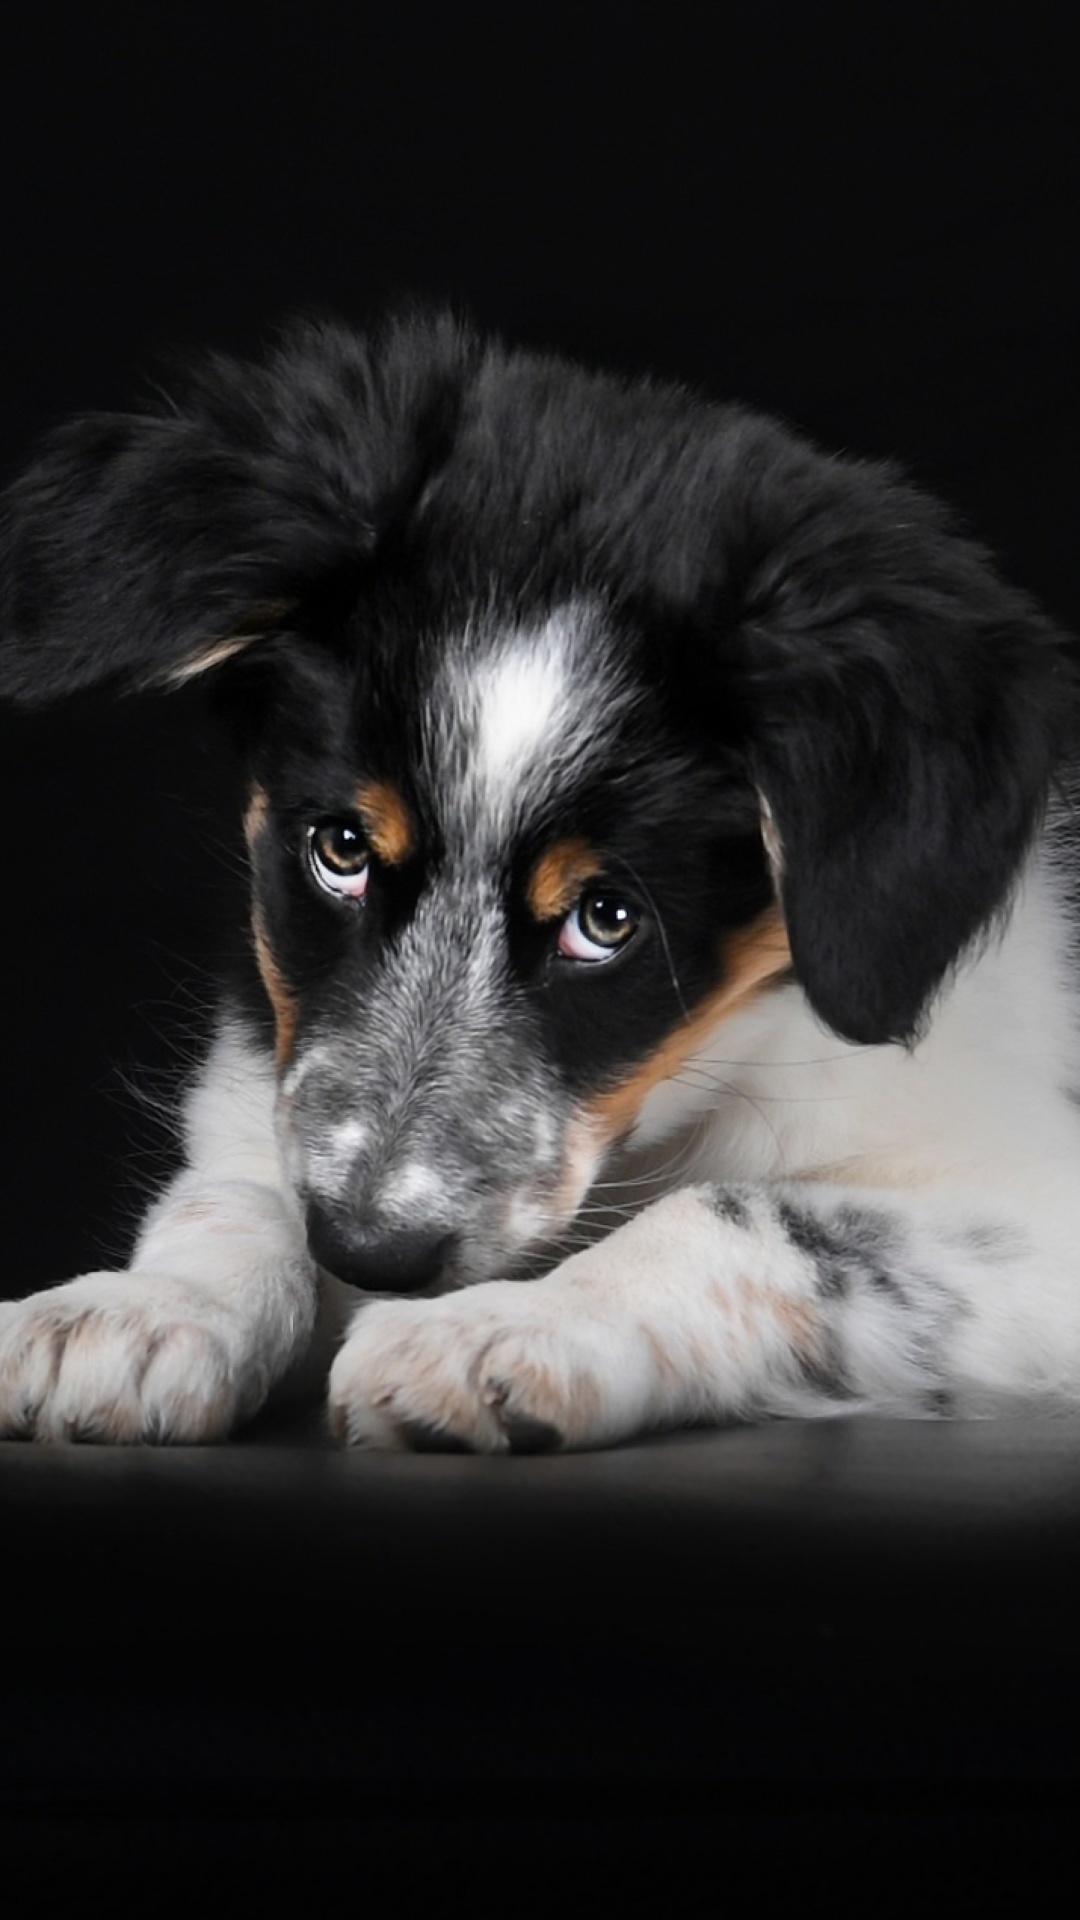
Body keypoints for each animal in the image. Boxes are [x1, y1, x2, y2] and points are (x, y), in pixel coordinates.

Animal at [2, 318, 1076, 1451]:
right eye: (341, 849)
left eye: (607, 919)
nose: (369, 1252)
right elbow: (234, 1193)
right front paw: (148, 1306)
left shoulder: (1038, 1209)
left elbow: (745, 1211)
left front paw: (510, 1326)